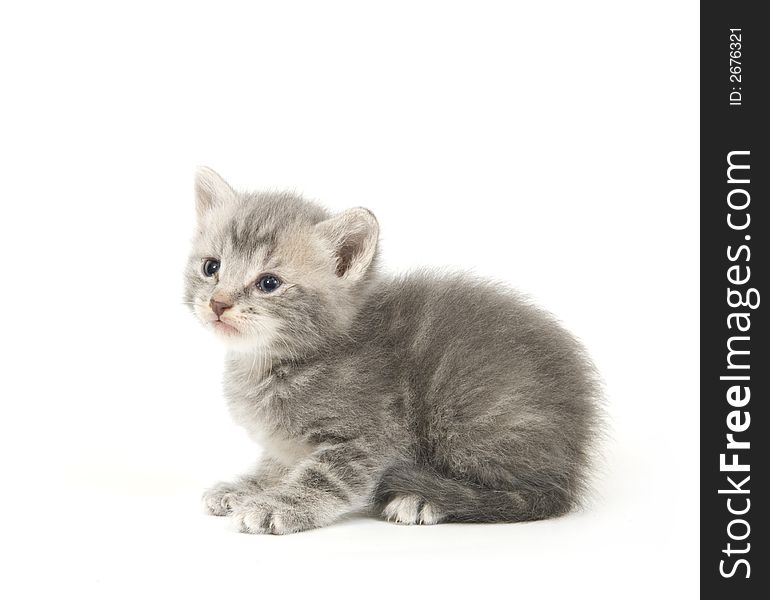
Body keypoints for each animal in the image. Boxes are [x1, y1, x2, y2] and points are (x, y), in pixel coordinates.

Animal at [184, 165, 600, 536]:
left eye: (269, 283)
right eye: (211, 267)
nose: (218, 303)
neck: (271, 362)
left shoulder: (372, 435)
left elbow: (322, 477)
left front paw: (276, 505)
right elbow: (278, 464)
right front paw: (247, 486)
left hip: (472, 415)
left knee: (529, 496)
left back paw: (422, 499)